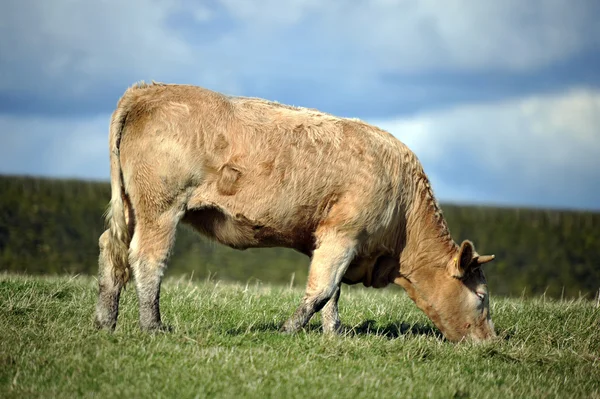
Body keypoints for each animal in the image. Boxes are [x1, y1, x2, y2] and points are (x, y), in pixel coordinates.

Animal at [95, 82, 496, 344]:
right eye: (482, 298)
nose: (492, 341)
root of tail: (150, 89)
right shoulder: (342, 234)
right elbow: (321, 291)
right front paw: (288, 330)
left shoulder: (337, 242)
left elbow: (332, 293)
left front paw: (335, 336)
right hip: (160, 207)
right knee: (147, 258)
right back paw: (153, 327)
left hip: (130, 205)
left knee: (111, 252)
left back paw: (105, 322)